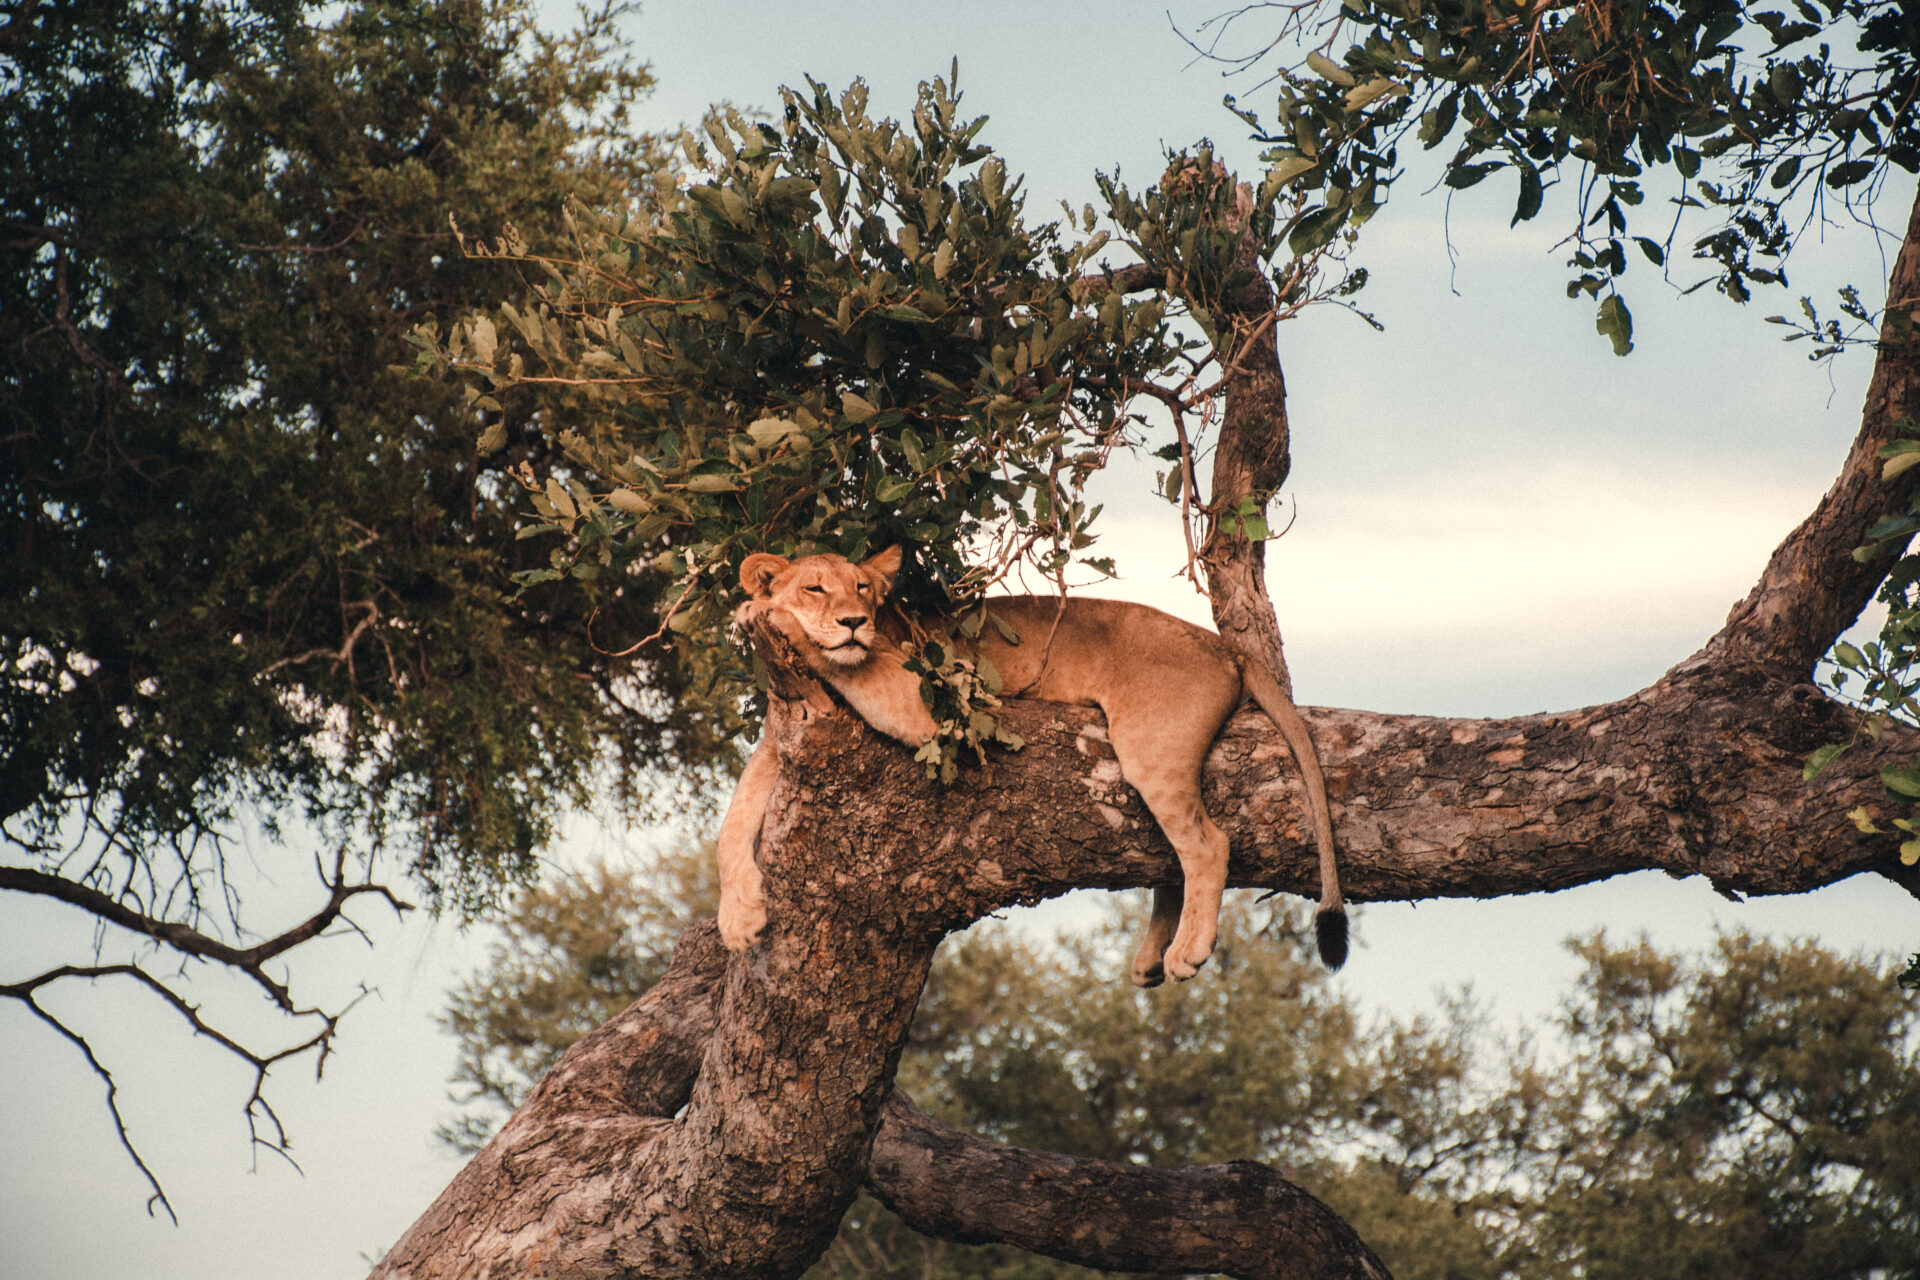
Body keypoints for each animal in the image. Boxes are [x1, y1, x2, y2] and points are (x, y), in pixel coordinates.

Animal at [716, 545, 1345, 986]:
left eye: (863, 589)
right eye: (815, 587)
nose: (853, 622)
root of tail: (1224, 645)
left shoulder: (934, 704)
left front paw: (760, 611)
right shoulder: (780, 741)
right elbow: (731, 826)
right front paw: (739, 921)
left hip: (1150, 748)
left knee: (1208, 844)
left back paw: (1188, 951)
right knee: (1174, 854)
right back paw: (1151, 958)